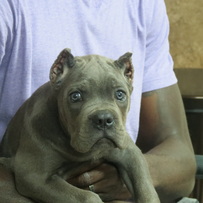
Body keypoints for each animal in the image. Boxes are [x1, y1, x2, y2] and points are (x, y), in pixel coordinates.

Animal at [0, 49, 159, 203]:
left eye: (120, 94)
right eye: (75, 96)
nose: (103, 119)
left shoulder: (130, 153)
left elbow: (144, 186)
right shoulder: (34, 176)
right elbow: (88, 197)